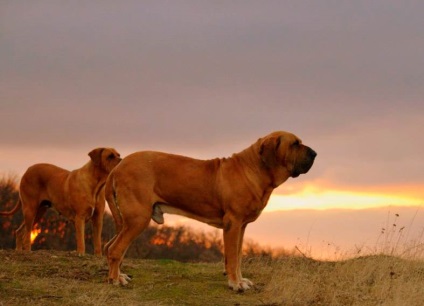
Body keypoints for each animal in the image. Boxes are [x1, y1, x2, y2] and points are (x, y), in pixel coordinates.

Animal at [102, 131, 314, 290]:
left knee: (111, 247)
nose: (314, 153)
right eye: (295, 144)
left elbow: (237, 256)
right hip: (138, 218)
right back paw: (116, 280)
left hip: (129, 221)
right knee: (115, 249)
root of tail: (117, 168)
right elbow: (232, 257)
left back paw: (119, 276)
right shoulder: (233, 223)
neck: (255, 169)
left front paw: (240, 280)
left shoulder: (241, 227)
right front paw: (235, 284)